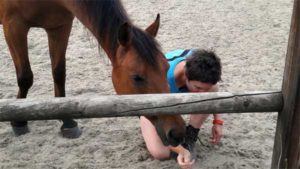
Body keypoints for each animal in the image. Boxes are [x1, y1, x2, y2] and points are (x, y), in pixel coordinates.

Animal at [0, 0, 185, 146]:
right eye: (137, 78)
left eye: (166, 68)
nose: (178, 132)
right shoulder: (14, 25)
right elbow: (25, 77)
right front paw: (18, 121)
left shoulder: (59, 26)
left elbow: (59, 72)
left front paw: (66, 120)